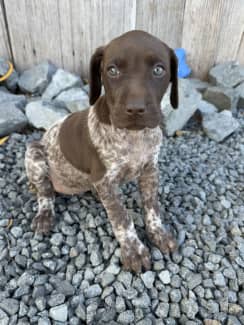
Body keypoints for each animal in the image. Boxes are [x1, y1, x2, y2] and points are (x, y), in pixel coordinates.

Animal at [24, 30, 178, 272]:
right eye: (112, 71)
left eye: (158, 70)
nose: (135, 109)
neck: (135, 138)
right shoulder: (104, 179)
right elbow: (122, 217)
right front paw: (134, 250)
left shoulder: (150, 171)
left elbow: (152, 206)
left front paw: (158, 233)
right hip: (34, 152)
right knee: (45, 192)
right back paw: (44, 214)